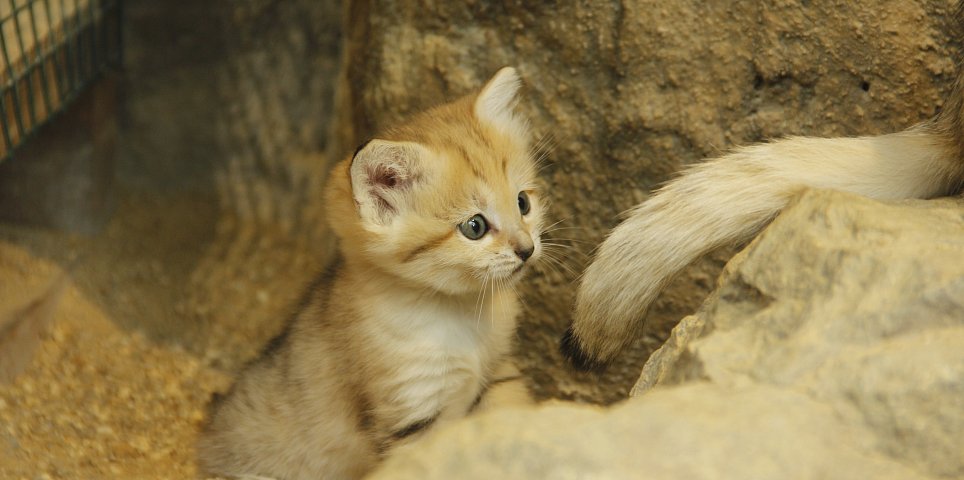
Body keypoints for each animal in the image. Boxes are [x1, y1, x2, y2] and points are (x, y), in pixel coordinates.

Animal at [196, 68, 544, 480]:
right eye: (474, 227)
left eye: (523, 203)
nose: (527, 249)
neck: (460, 313)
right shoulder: (413, 411)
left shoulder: (497, 373)